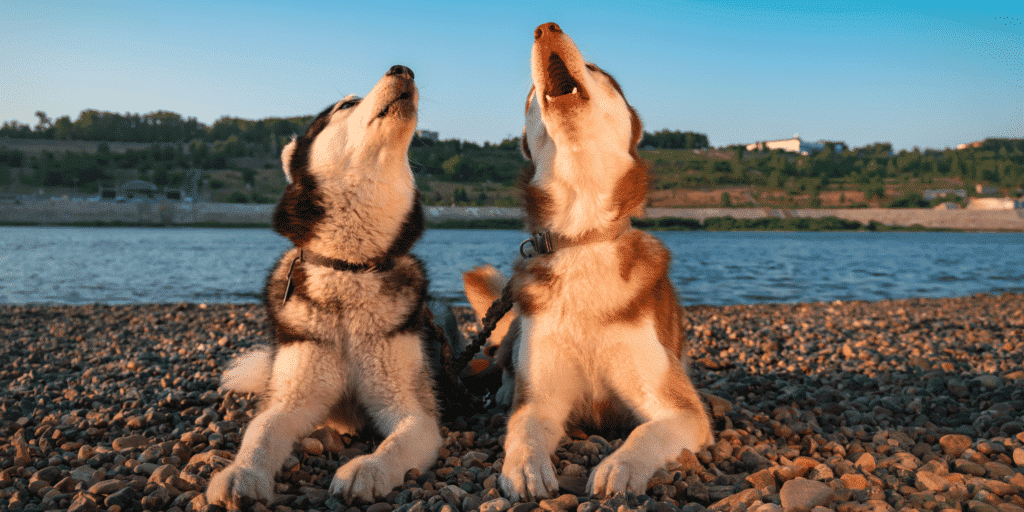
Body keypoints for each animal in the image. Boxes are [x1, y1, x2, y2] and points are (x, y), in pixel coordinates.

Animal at [207, 65, 444, 507]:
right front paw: (241, 473)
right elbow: (260, 433)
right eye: (346, 105)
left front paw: (366, 469)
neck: (349, 268)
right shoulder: (290, 397)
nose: (403, 69)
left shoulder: (415, 412)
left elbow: (396, 443)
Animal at [464, 23, 712, 499]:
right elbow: (523, 429)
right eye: (529, 95)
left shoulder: (680, 409)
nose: (546, 28)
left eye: (597, 69)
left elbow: (646, 432)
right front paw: (525, 468)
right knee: (505, 362)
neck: (582, 237)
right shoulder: (541, 398)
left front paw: (621, 466)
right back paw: (503, 390)